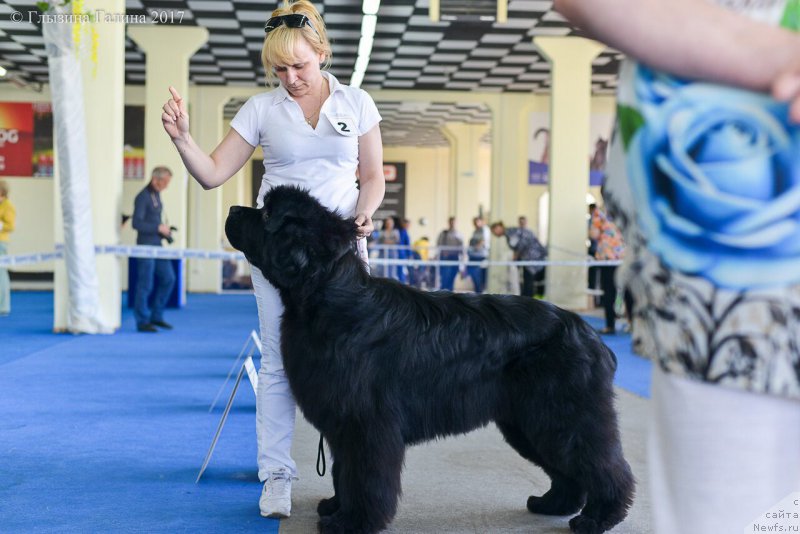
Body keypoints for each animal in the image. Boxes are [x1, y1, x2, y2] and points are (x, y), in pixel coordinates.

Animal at [223, 187, 632, 534]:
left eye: (267, 214)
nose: (231, 210)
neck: (330, 298)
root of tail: (589, 334)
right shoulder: (344, 423)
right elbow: (343, 472)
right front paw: (336, 507)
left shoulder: (367, 424)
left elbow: (364, 477)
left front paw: (352, 522)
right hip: (528, 422)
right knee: (568, 471)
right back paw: (553, 503)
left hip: (562, 416)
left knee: (605, 466)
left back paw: (598, 518)